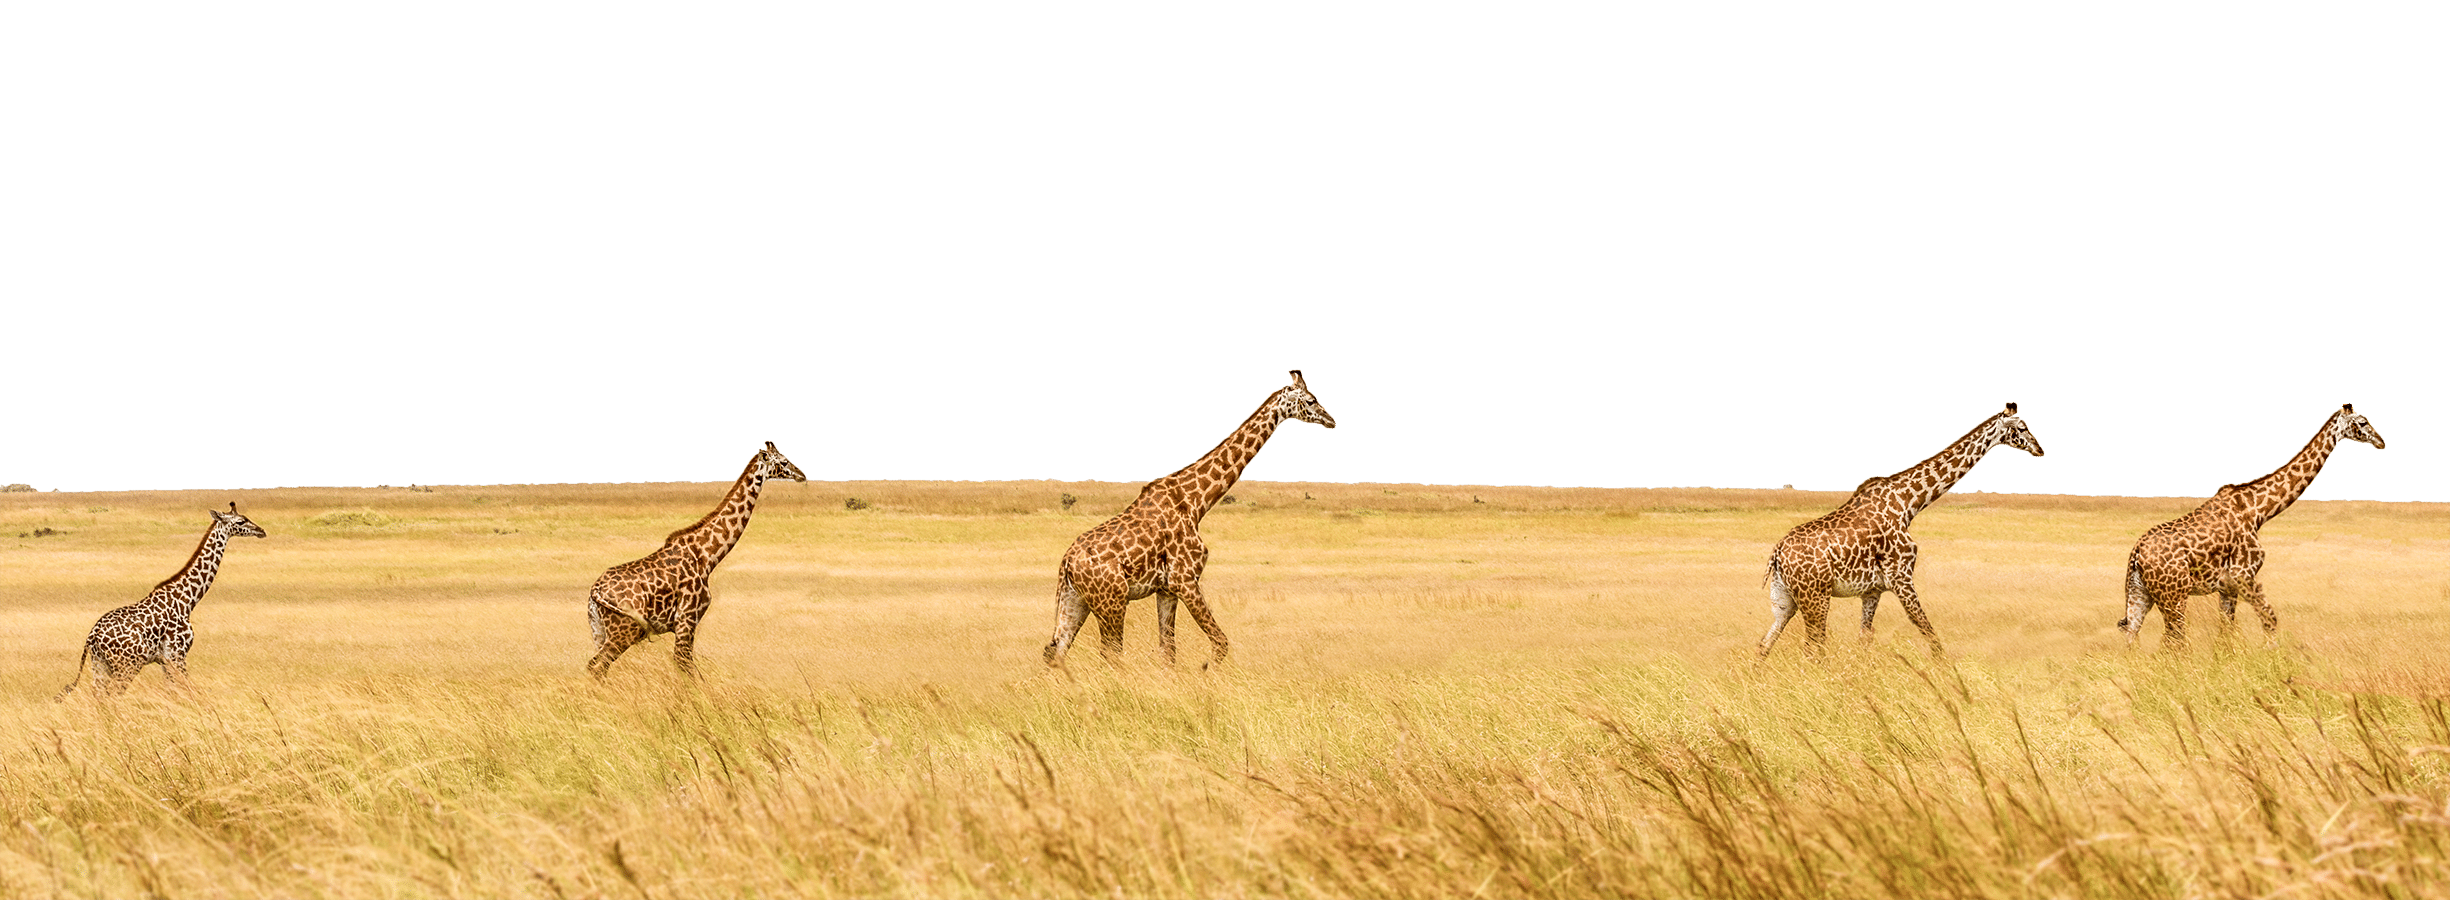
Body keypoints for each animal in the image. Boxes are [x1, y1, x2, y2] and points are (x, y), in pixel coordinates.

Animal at [56, 503, 268, 699]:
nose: (261, 531)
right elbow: (188, 691)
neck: (187, 600)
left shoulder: (166, 661)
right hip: (127, 665)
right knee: (112, 696)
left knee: (99, 696)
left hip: (100, 665)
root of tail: (92, 636)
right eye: (240, 521)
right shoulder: (177, 655)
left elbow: (172, 693)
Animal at [586, 440, 808, 679]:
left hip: (600, 631)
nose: (801, 475)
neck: (707, 556)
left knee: (594, 666)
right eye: (783, 461)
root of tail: (595, 592)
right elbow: (685, 665)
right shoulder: (687, 618)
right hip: (625, 630)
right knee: (598, 667)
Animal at [1043, 369, 1336, 668]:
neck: (1196, 502)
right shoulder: (1184, 579)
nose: (1331, 420)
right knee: (1110, 655)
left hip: (1075, 600)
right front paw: (1206, 670)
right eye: (1311, 400)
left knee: (1055, 651)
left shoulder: (1166, 589)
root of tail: (1066, 563)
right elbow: (1220, 642)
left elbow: (1168, 651)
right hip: (1111, 600)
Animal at [1758, 403, 2046, 658]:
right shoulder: (1902, 578)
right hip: (1815, 596)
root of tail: (1777, 553)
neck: (1909, 502)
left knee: (1765, 644)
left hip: (1786, 599)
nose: (2039, 449)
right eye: (2022, 427)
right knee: (1812, 648)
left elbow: (1865, 639)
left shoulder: (1872, 590)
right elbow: (1930, 635)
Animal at [2119, 403, 2385, 649]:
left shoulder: (2227, 587)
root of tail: (2136, 554)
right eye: (2362, 422)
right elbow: (2270, 619)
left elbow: (2227, 633)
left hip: (2140, 594)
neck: (2257, 510)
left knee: (2133, 635)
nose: (2380, 441)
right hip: (2174, 595)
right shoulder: (2243, 575)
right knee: (2173, 641)